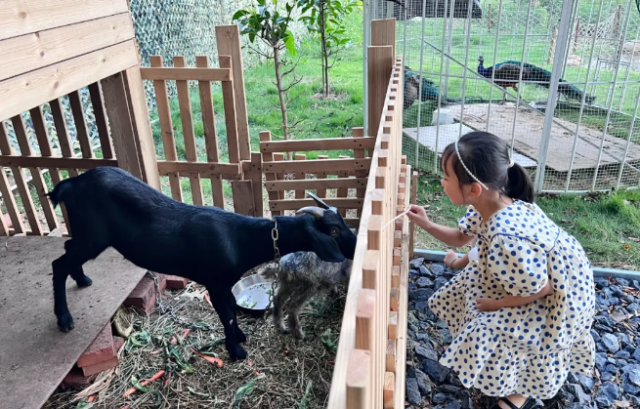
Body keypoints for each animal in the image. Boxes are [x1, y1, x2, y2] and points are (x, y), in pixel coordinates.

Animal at [47, 167, 357, 360]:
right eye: (334, 231)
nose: (355, 244)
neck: (239, 239)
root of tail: (71, 183)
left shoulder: (227, 283)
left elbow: (231, 307)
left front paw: (240, 337)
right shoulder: (214, 282)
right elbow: (227, 314)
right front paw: (236, 351)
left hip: (86, 235)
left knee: (67, 251)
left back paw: (82, 279)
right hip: (93, 235)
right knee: (58, 263)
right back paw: (64, 318)